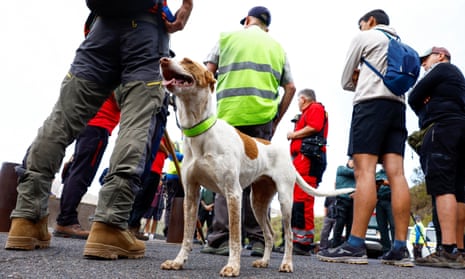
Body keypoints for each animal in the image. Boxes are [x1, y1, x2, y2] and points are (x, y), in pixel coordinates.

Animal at [158, 57, 354, 278]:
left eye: (188, 61)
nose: (163, 60)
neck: (202, 131)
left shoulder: (233, 193)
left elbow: (235, 237)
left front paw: (233, 266)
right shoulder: (191, 195)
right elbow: (187, 235)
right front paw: (178, 261)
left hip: (285, 201)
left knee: (288, 235)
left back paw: (286, 263)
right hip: (257, 202)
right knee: (269, 234)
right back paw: (264, 260)